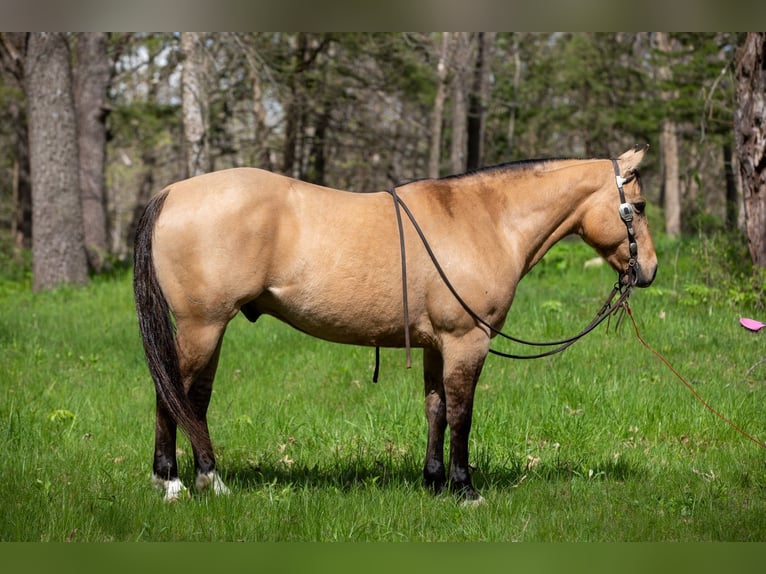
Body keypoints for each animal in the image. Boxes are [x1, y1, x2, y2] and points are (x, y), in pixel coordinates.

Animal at [133, 146, 657, 503]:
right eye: (640, 206)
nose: (649, 270)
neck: (483, 220)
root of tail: (170, 193)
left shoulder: (436, 345)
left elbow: (436, 410)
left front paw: (434, 482)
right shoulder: (467, 342)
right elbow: (462, 415)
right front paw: (465, 489)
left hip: (211, 328)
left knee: (195, 399)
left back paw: (210, 480)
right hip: (202, 326)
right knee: (171, 394)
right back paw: (172, 482)